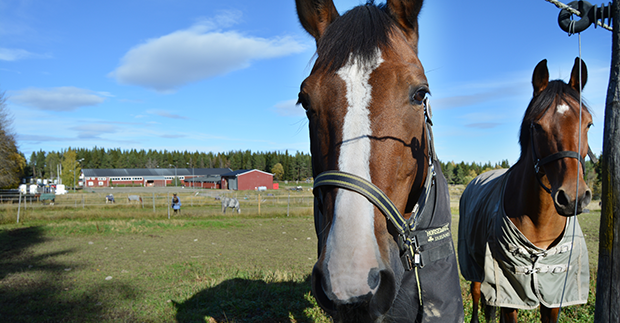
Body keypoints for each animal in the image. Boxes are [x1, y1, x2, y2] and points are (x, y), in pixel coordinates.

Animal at [458, 58, 592, 323]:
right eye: (537, 126)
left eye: (589, 123)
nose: (573, 197)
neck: (541, 222)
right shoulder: (510, 290)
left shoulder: (554, 295)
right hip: (475, 265)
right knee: (478, 295)